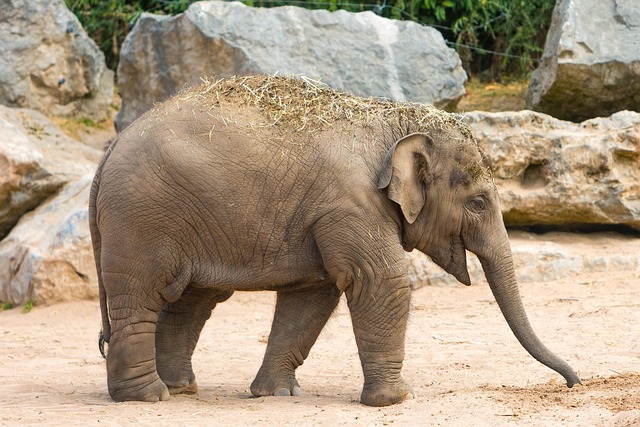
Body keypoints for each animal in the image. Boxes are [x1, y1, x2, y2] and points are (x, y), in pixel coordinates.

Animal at [90, 75, 581, 407]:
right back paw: (148, 396)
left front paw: (276, 394)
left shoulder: (322, 216)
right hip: (140, 220)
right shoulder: (351, 204)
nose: (575, 381)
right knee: (142, 295)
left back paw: (180, 388)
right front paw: (397, 398)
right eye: (478, 202)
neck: (393, 121)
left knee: (192, 300)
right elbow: (379, 280)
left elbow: (312, 295)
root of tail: (109, 149)